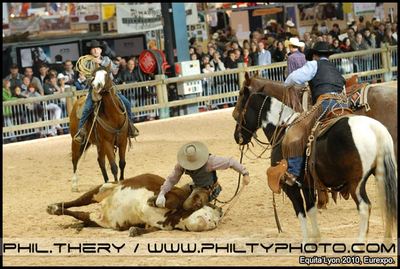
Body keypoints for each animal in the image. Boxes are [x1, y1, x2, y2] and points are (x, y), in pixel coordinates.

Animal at [47, 173, 223, 236]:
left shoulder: (158, 225)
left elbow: (146, 229)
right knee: (78, 201)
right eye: (211, 209)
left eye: (216, 222)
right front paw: (153, 201)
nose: (219, 215)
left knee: (81, 214)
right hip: (103, 188)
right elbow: (172, 198)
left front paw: (134, 230)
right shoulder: (175, 193)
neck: (174, 216)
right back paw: (54, 207)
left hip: (99, 220)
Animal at [233, 85, 398, 243]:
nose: (236, 137)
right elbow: (311, 209)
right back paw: (387, 240)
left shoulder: (291, 187)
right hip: (381, 175)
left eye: (238, 111)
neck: (281, 129)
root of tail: (376, 129)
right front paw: (316, 238)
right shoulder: (307, 184)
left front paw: (306, 241)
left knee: (364, 207)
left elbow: (300, 212)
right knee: (387, 203)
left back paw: (359, 244)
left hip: (356, 183)